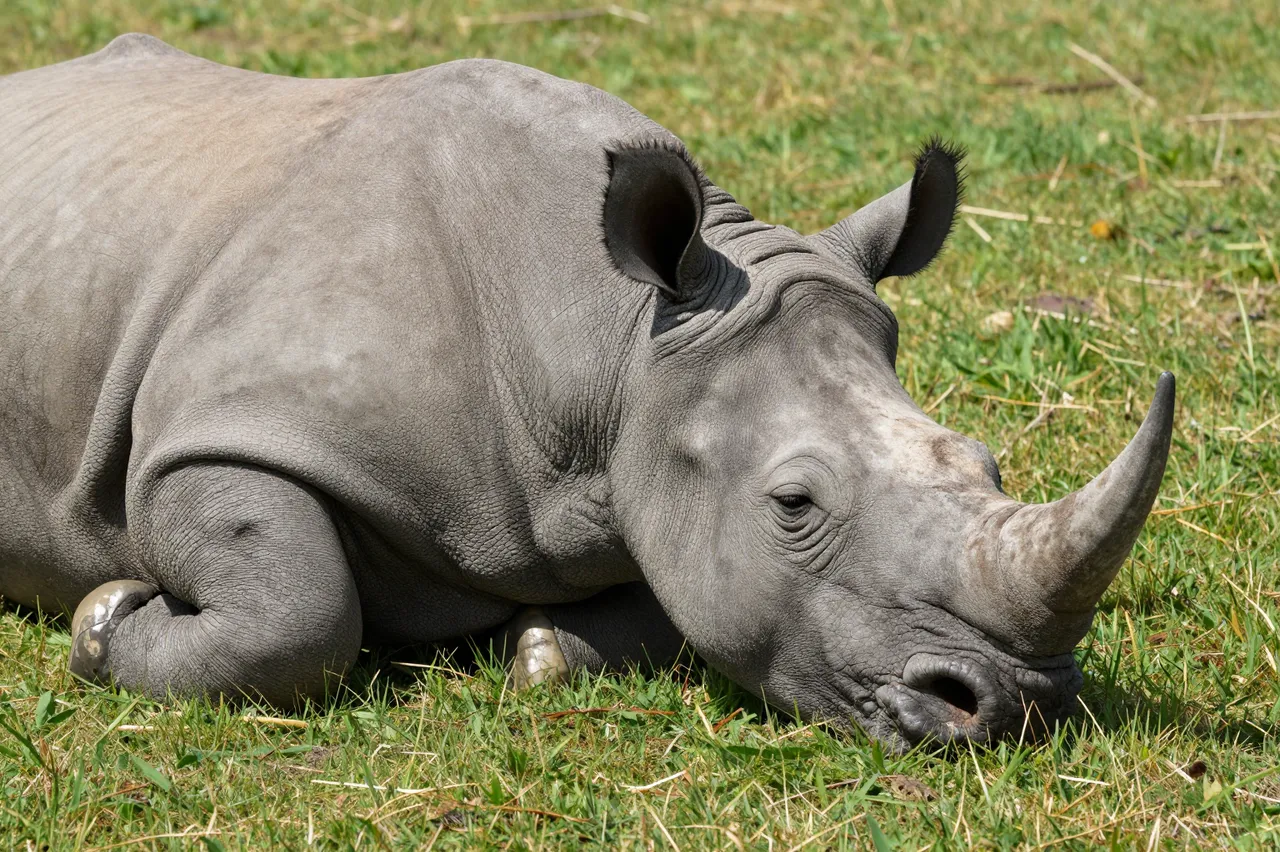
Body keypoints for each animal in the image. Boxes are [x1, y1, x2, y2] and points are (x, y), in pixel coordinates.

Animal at [0, 34, 1174, 748]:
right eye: (793, 505)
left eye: (987, 464)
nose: (1015, 705)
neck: (610, 344)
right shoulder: (217, 430)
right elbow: (300, 610)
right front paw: (105, 622)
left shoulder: (644, 461)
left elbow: (672, 600)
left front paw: (537, 652)